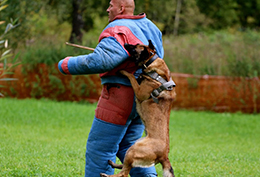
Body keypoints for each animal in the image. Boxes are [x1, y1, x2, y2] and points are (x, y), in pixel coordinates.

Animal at [100, 40, 176, 177]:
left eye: (135, 47)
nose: (125, 44)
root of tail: (164, 156)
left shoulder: (140, 92)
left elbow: (132, 77)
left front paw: (124, 71)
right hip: (134, 148)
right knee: (126, 166)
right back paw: (113, 164)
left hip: (134, 149)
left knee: (124, 173)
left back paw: (106, 175)